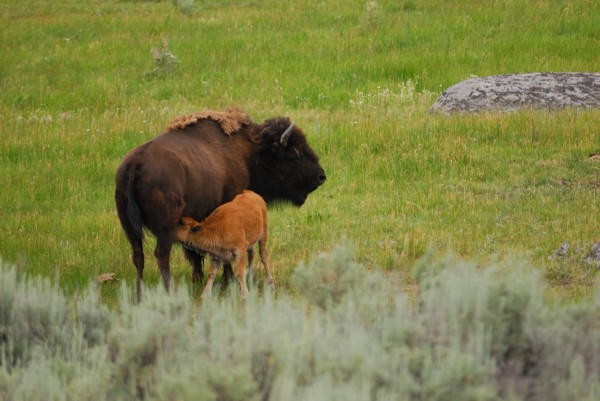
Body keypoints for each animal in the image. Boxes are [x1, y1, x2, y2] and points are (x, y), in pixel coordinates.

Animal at [115, 108, 326, 298]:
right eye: (296, 151)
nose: (321, 176)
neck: (249, 151)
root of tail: (134, 164)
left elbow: (196, 252)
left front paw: (198, 278)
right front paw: (228, 279)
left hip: (129, 227)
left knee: (138, 256)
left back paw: (139, 294)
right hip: (165, 228)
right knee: (161, 256)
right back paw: (170, 292)